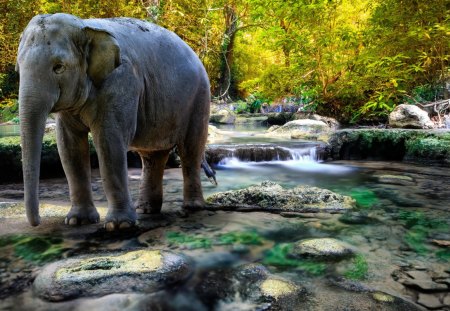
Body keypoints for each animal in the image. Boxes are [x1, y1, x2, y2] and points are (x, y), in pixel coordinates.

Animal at [14, 13, 210, 230]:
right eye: (18, 68)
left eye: (58, 68)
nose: (37, 223)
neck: (85, 26)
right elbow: (69, 148)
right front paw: (77, 221)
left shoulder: (121, 82)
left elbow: (109, 142)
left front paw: (119, 225)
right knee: (153, 156)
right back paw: (146, 210)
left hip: (199, 98)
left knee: (190, 150)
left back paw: (192, 208)